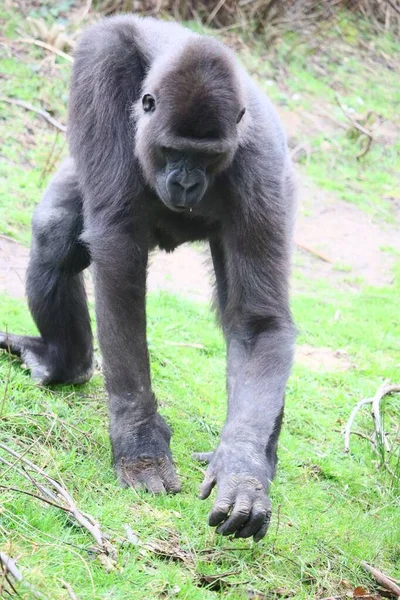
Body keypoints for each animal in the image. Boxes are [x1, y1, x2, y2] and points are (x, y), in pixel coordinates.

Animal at [0, 14, 294, 540]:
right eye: (172, 150)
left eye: (206, 156)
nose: (186, 182)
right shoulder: (101, 63)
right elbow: (116, 254)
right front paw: (139, 439)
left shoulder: (261, 172)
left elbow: (259, 323)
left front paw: (242, 467)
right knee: (55, 233)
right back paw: (66, 362)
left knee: (250, 328)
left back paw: (265, 459)